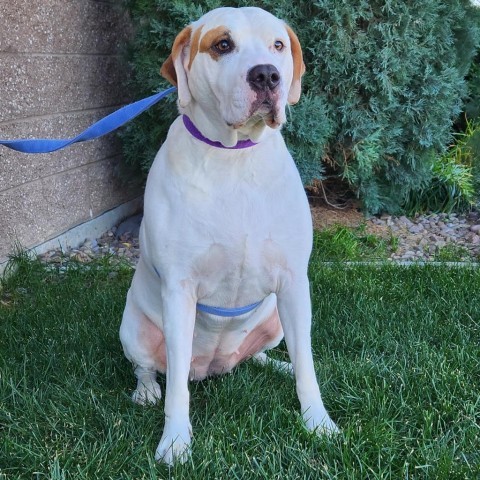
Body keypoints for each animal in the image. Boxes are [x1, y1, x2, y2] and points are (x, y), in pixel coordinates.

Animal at [119, 6, 338, 464]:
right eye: (222, 44)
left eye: (278, 45)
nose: (268, 75)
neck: (234, 156)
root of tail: (214, 367)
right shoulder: (179, 291)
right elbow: (176, 390)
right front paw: (175, 442)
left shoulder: (294, 283)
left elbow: (307, 365)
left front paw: (318, 422)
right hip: (132, 329)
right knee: (149, 368)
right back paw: (145, 390)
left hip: (275, 319)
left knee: (264, 355)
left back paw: (278, 365)